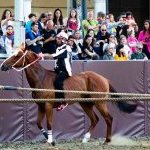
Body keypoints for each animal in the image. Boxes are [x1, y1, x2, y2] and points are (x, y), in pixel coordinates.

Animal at [0, 44, 137, 145]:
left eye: (17, 55)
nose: (3, 65)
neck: (41, 78)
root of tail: (103, 78)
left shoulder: (48, 105)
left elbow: (49, 123)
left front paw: (51, 141)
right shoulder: (41, 106)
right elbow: (38, 124)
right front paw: (48, 138)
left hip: (100, 102)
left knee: (108, 118)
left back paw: (107, 140)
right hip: (85, 104)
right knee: (95, 119)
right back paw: (85, 138)